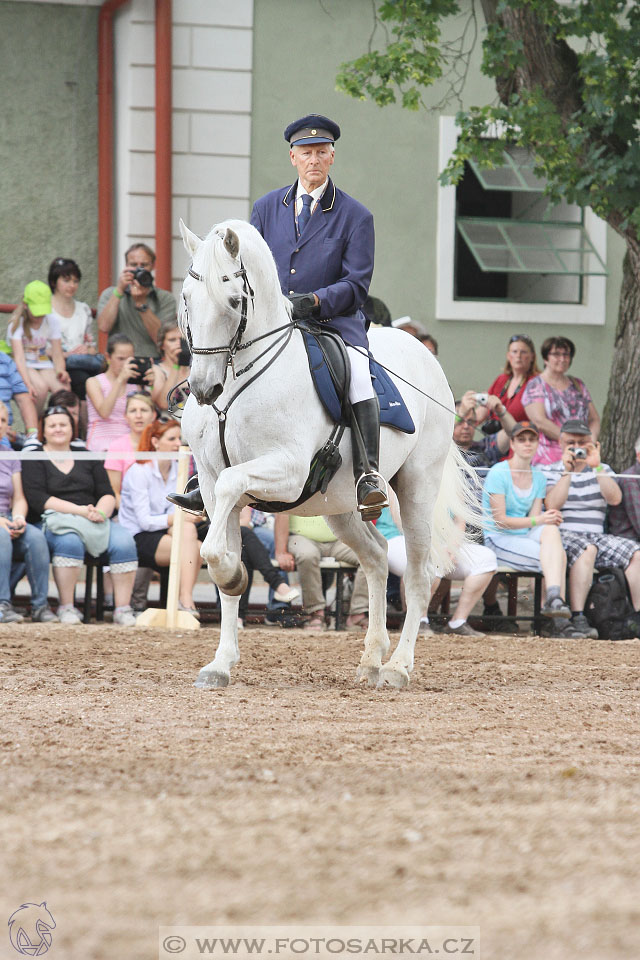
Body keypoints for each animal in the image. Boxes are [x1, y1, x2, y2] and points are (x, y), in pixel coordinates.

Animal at [178, 218, 478, 688]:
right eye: (187, 298)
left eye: (233, 300)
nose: (204, 389)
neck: (238, 387)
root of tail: (423, 352)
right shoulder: (210, 484)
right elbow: (220, 552)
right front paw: (220, 661)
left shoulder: (286, 471)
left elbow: (229, 497)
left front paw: (231, 577)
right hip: (339, 506)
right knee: (376, 557)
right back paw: (371, 658)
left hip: (417, 488)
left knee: (417, 574)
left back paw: (397, 667)